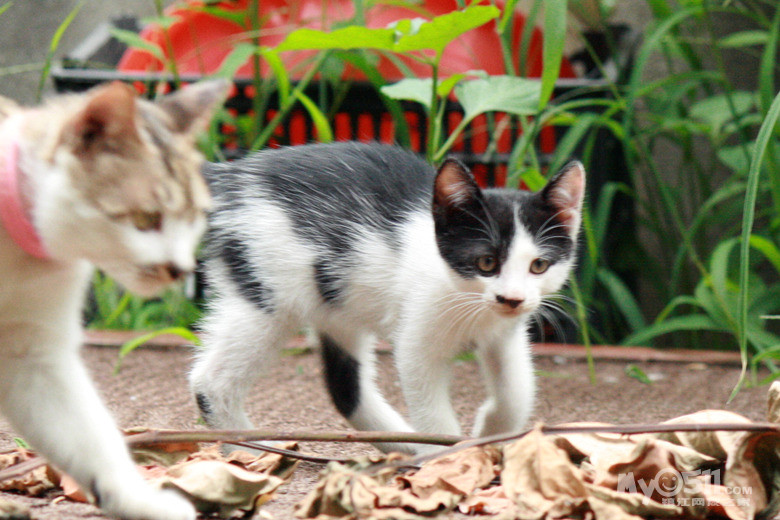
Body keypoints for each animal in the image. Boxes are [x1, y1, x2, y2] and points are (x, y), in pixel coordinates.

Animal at [190, 140, 584, 452]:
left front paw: (491, 428)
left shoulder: (504, 333)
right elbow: (430, 405)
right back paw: (249, 449)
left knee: (345, 388)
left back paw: (401, 443)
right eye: (486, 262)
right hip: (268, 291)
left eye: (539, 265)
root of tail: (230, 176)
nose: (512, 299)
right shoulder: (418, 337)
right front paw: (443, 458)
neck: (466, 300)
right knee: (210, 381)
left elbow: (517, 391)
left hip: (338, 303)